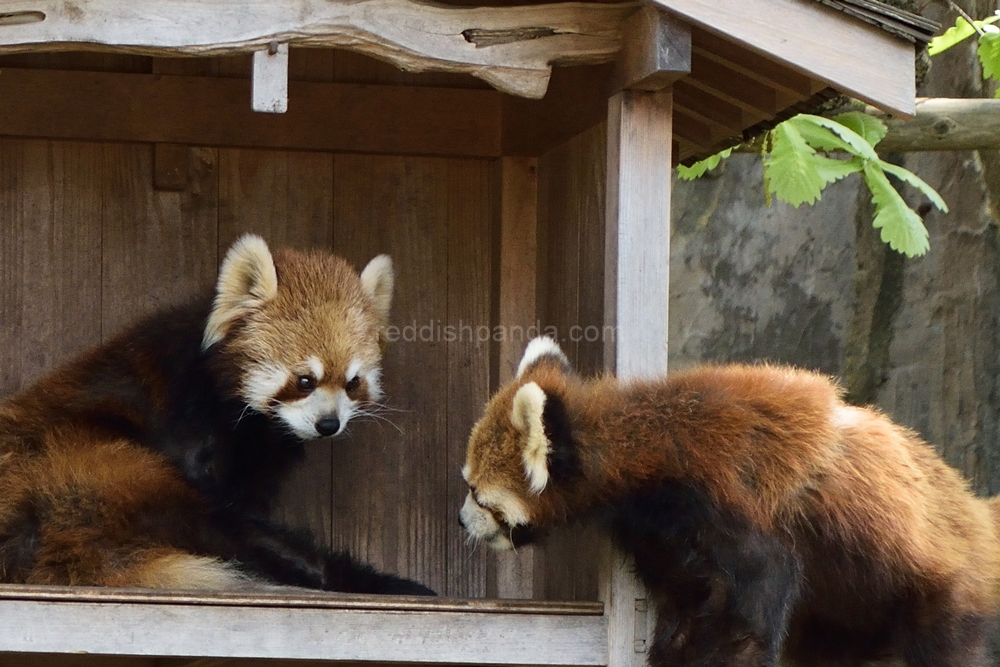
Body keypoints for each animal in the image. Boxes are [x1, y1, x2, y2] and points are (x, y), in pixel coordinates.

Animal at [460, 340, 1000, 667]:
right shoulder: (659, 534)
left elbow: (752, 606)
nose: (461, 520)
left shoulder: (728, 505)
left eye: (475, 494)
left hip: (933, 589)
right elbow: (683, 601)